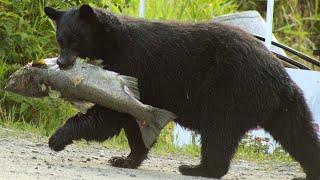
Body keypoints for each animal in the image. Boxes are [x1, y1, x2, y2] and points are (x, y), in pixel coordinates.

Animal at [44, 3, 320, 179]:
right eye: (60, 39)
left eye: (76, 39)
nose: (62, 63)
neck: (110, 43)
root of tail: (279, 75)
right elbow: (133, 120)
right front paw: (127, 159)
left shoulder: (132, 63)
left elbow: (110, 114)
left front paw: (57, 138)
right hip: (284, 106)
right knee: (300, 135)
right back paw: (309, 172)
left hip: (229, 89)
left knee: (218, 131)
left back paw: (197, 169)